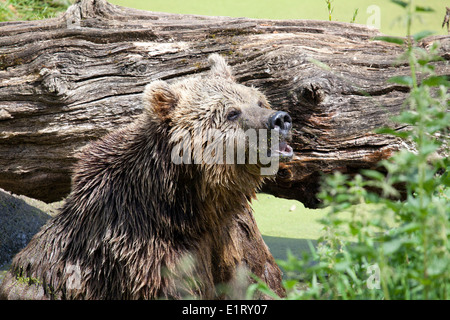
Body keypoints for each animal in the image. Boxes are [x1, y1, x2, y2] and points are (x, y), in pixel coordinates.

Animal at [0, 53, 294, 298]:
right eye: (232, 112)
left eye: (259, 100)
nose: (280, 119)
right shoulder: (145, 246)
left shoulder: (235, 232)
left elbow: (261, 278)